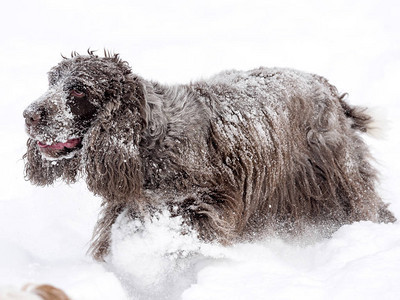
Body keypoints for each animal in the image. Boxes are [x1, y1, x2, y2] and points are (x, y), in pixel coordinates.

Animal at [24, 51, 396, 260]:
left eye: (78, 90)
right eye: (51, 83)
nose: (28, 114)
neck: (151, 143)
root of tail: (326, 86)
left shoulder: (205, 204)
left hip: (336, 178)